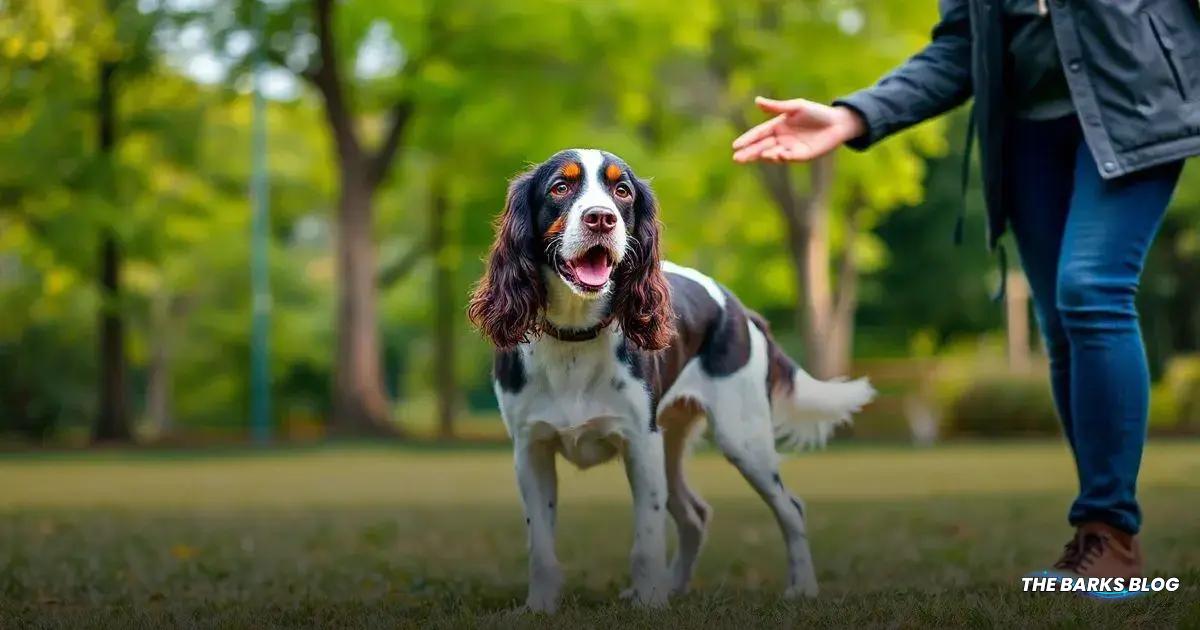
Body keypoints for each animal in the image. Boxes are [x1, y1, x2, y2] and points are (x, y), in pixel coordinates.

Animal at [465, 147, 873, 609]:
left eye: (622, 191)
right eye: (560, 187)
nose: (601, 218)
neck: (575, 335)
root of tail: (738, 306)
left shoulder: (641, 445)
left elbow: (647, 539)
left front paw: (649, 603)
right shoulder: (531, 449)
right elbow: (541, 546)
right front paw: (541, 607)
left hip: (742, 439)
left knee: (791, 508)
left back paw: (801, 586)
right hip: (674, 442)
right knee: (696, 515)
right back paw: (676, 586)